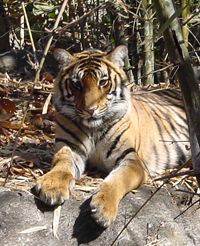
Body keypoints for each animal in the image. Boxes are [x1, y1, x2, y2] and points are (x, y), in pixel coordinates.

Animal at [35, 45, 191, 228]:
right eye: (76, 84)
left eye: (103, 82)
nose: (90, 110)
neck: (93, 129)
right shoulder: (69, 147)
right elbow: (61, 163)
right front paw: (52, 185)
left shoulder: (132, 160)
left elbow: (118, 179)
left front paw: (104, 207)